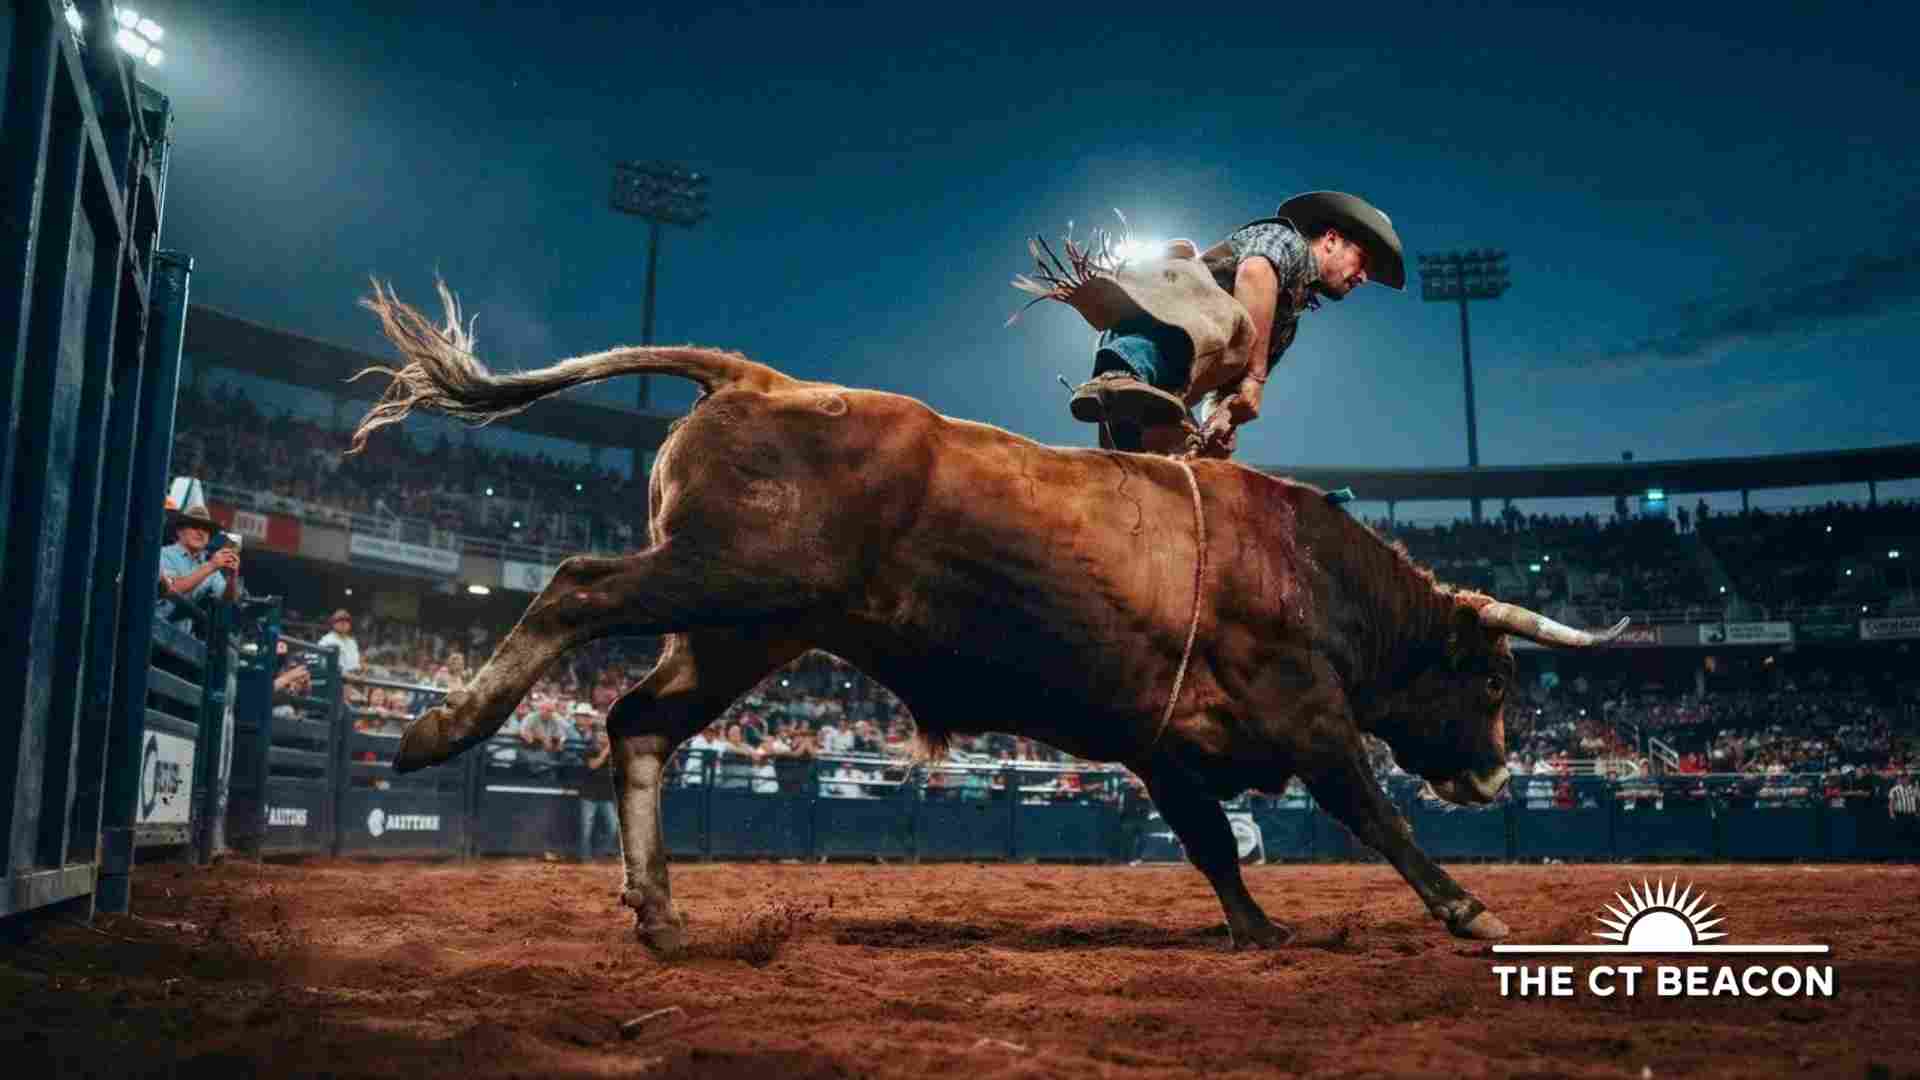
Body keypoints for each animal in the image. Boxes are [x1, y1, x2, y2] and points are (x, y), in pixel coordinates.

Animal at [351, 281, 1628, 954]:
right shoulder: (1305, 711)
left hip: (746, 627)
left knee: (639, 725)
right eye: (1496, 681)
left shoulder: (1162, 747)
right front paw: (1464, 904)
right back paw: (440, 731)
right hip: (725, 578)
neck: (1304, 566)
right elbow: (1371, 810)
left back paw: (661, 911)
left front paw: (1257, 930)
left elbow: (1213, 842)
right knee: (575, 588)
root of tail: (759, 379)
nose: (1499, 774)